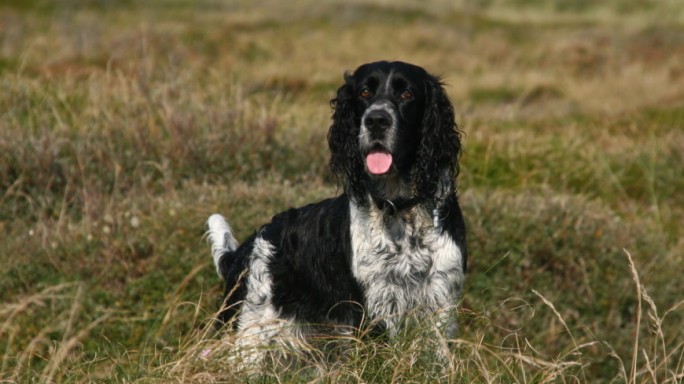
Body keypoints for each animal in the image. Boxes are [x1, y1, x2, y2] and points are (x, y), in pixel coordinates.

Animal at [208, 60, 464, 364]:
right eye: (364, 92)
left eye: (407, 94)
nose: (376, 120)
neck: (399, 209)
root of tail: (243, 251)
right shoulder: (371, 306)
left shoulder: (440, 299)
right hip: (250, 331)